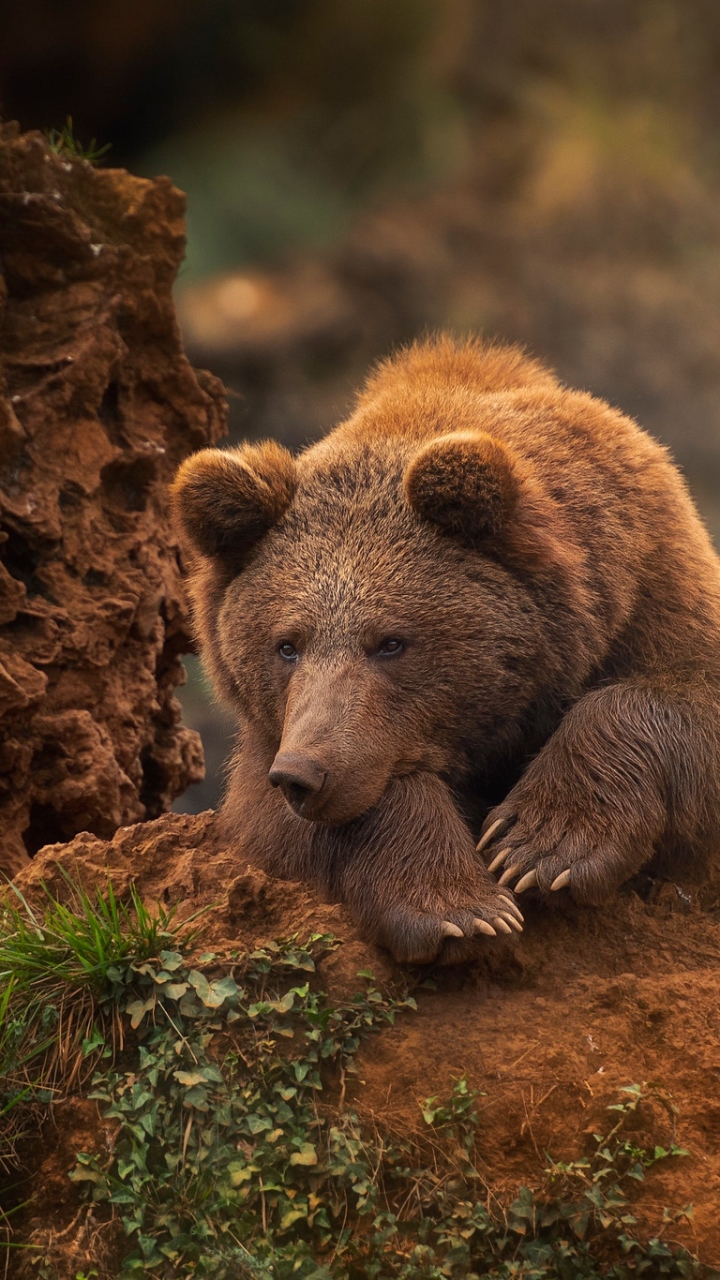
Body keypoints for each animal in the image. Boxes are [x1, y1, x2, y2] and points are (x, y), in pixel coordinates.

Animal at [170, 337, 717, 962]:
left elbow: (672, 697)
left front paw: (541, 846)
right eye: (286, 645)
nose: (304, 774)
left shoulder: (654, 588)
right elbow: (288, 820)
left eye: (391, 642)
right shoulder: (273, 741)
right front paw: (461, 909)